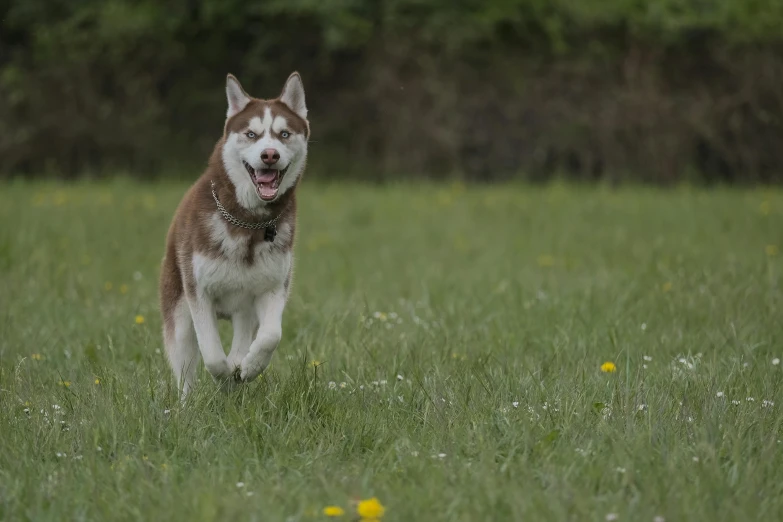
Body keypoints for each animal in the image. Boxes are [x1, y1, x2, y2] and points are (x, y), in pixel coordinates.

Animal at [158, 70, 310, 394]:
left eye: (284, 134)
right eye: (251, 134)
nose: (269, 155)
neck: (248, 220)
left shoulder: (272, 288)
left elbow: (271, 336)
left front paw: (249, 366)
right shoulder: (199, 293)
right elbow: (213, 355)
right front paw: (225, 373)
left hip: (243, 308)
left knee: (243, 334)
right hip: (178, 312)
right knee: (185, 367)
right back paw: (188, 401)